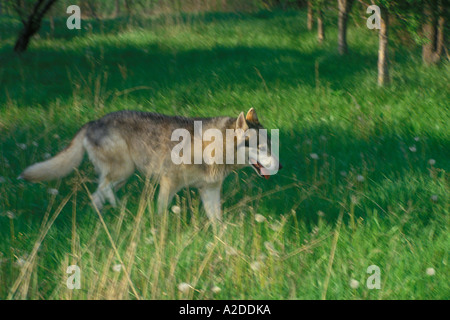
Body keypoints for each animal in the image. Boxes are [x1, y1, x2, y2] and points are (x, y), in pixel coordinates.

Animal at [22, 109, 282, 221]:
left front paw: (222, 243)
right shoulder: (168, 184)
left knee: (96, 195)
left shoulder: (209, 191)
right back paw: (119, 210)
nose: (280, 166)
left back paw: (101, 218)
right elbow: (160, 212)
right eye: (260, 147)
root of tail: (92, 122)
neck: (213, 149)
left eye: (270, 145)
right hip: (124, 171)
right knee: (103, 190)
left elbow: (217, 222)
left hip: (121, 176)